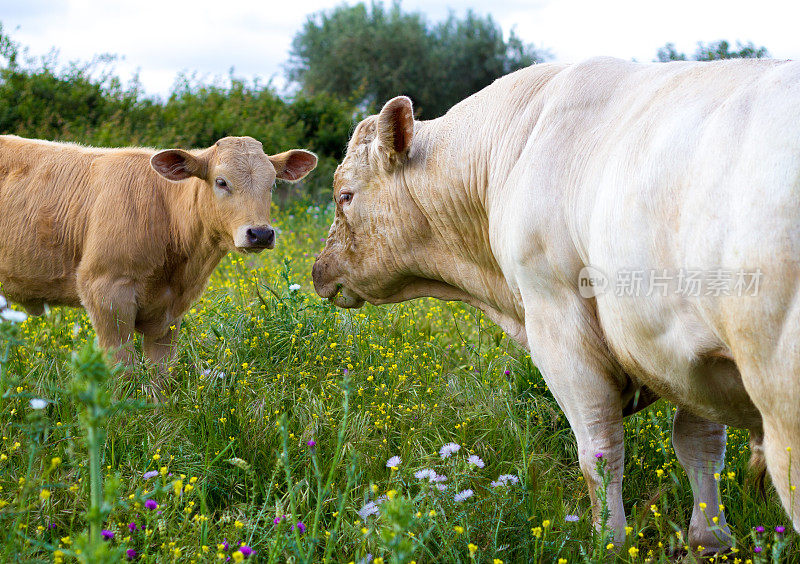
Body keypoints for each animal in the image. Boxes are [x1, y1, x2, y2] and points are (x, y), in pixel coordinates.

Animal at [0, 133, 318, 370]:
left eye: (272, 184)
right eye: (221, 181)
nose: (261, 233)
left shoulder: (170, 312)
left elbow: (161, 375)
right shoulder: (105, 291)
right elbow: (123, 371)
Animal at [312, 57, 800, 552]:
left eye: (345, 196)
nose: (319, 270)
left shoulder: (558, 320)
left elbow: (599, 449)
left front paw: (608, 544)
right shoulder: (684, 351)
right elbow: (699, 441)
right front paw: (709, 539)